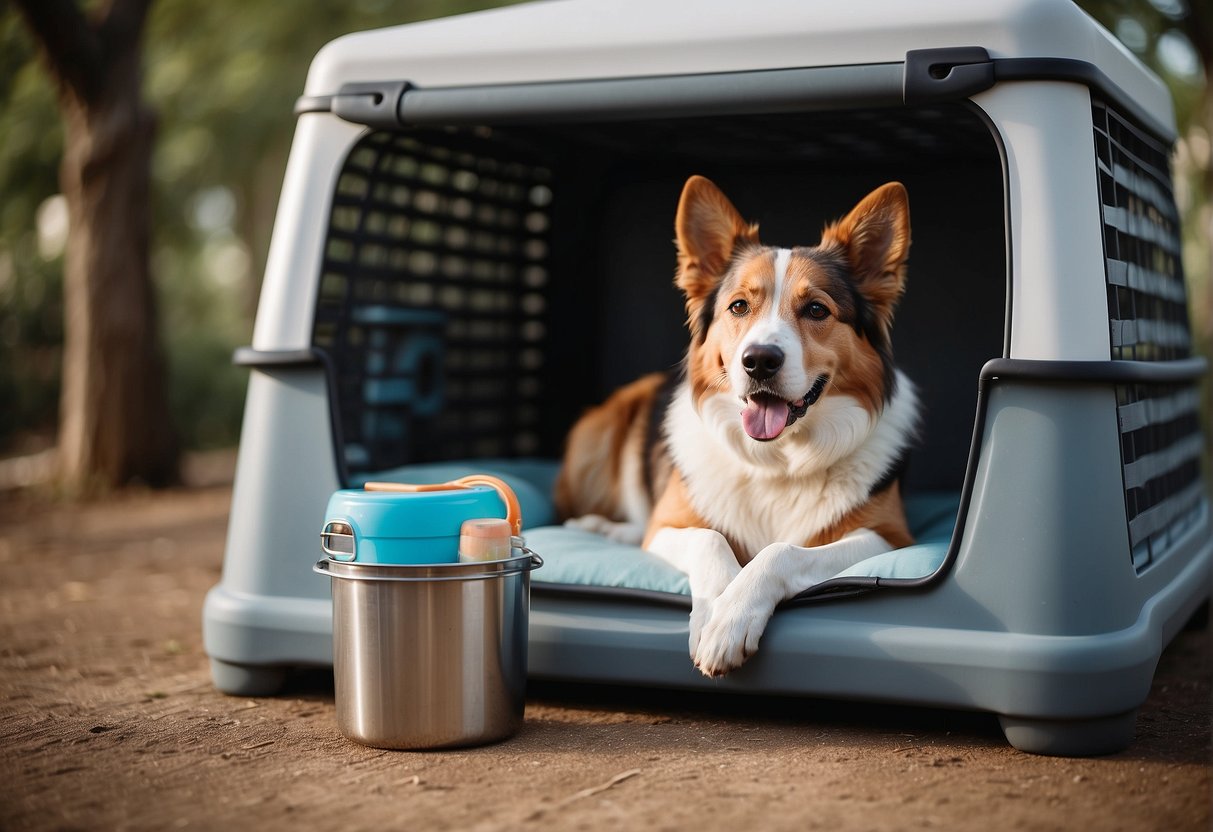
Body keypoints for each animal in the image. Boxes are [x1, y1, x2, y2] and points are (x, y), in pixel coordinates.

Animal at [555, 175, 912, 679]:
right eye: (739, 306)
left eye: (817, 310)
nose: (759, 360)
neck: (777, 458)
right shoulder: (671, 525)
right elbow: (710, 538)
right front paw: (716, 614)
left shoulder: (889, 536)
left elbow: (781, 552)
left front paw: (732, 616)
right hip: (603, 425)